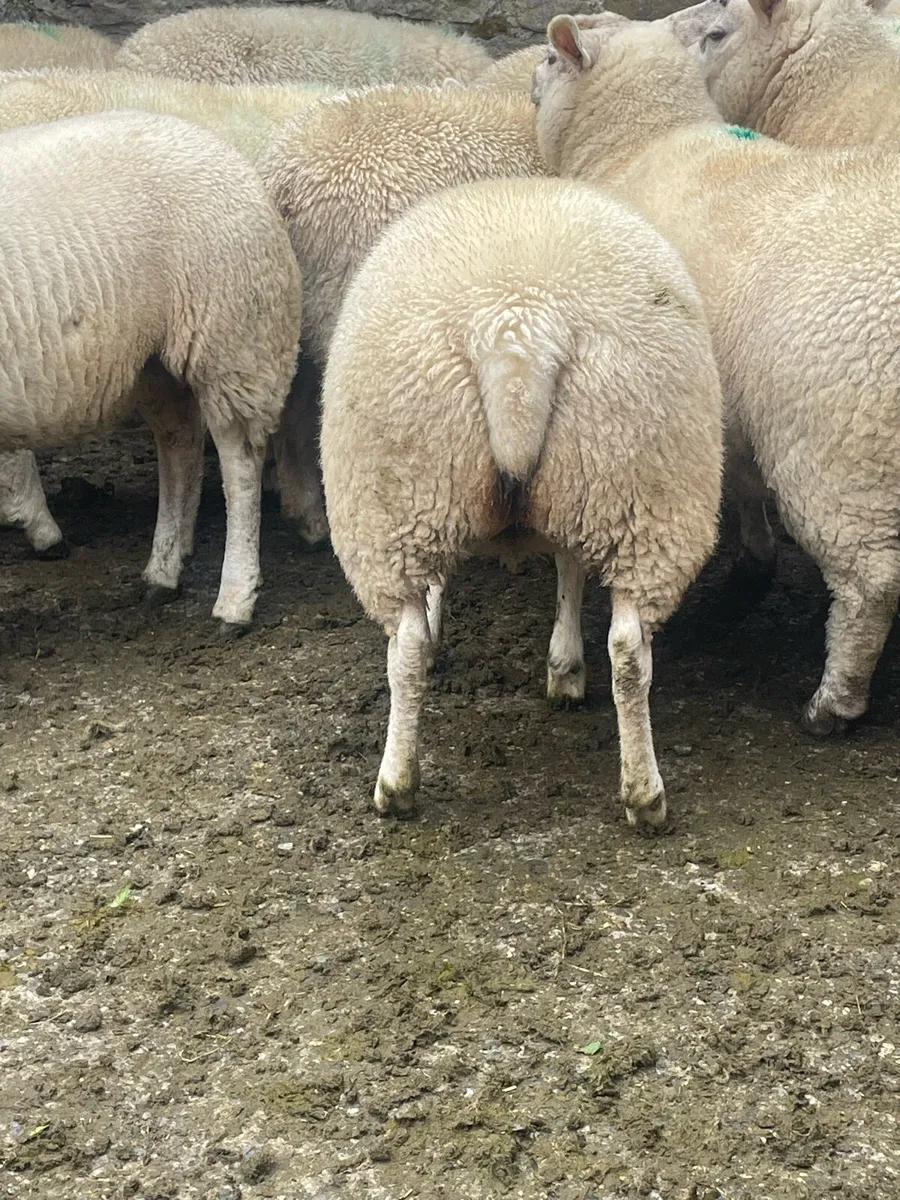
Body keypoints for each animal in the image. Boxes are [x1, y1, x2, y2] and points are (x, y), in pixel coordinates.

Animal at [0, 109, 301, 630]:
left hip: (232, 342)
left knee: (239, 467)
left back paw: (234, 599)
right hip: (155, 364)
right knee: (179, 447)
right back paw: (163, 572)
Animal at [321, 175, 723, 827]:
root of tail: (516, 338)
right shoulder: (571, 500)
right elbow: (568, 566)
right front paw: (564, 667)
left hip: (401, 502)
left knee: (405, 648)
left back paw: (397, 785)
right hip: (630, 484)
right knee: (628, 650)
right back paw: (642, 794)